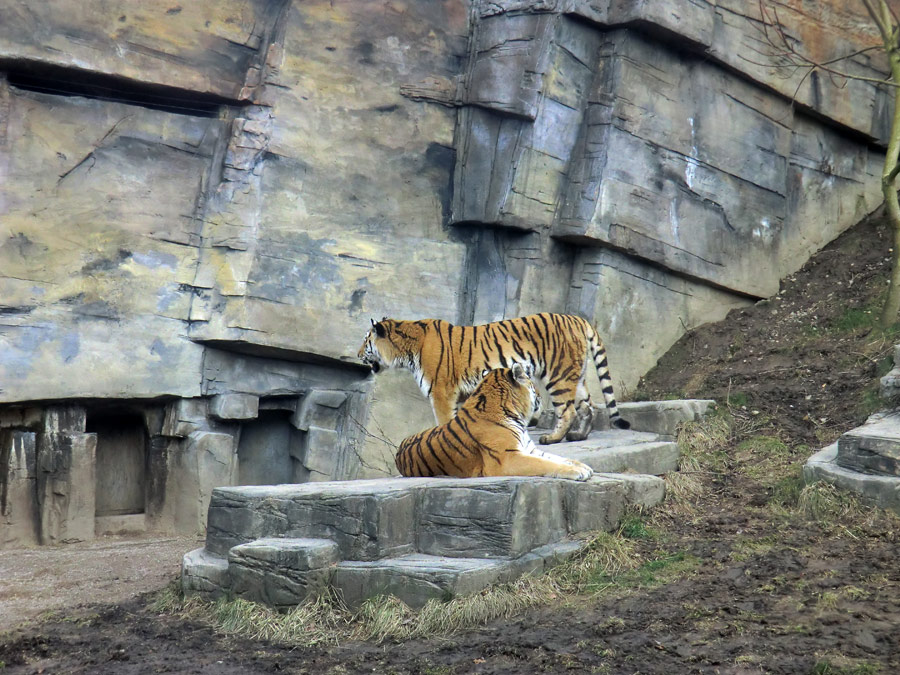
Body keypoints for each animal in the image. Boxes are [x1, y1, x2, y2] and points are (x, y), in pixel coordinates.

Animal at [356, 312, 628, 444]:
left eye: (366, 340)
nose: (357, 354)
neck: (407, 350)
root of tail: (578, 319)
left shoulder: (442, 393)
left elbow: (444, 421)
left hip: (558, 375)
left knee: (568, 410)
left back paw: (552, 438)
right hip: (575, 375)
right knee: (589, 407)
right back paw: (579, 436)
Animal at [396, 364, 596, 480]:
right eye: (532, 383)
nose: (540, 395)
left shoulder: (529, 449)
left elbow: (559, 458)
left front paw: (583, 466)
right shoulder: (507, 458)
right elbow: (546, 464)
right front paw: (579, 472)